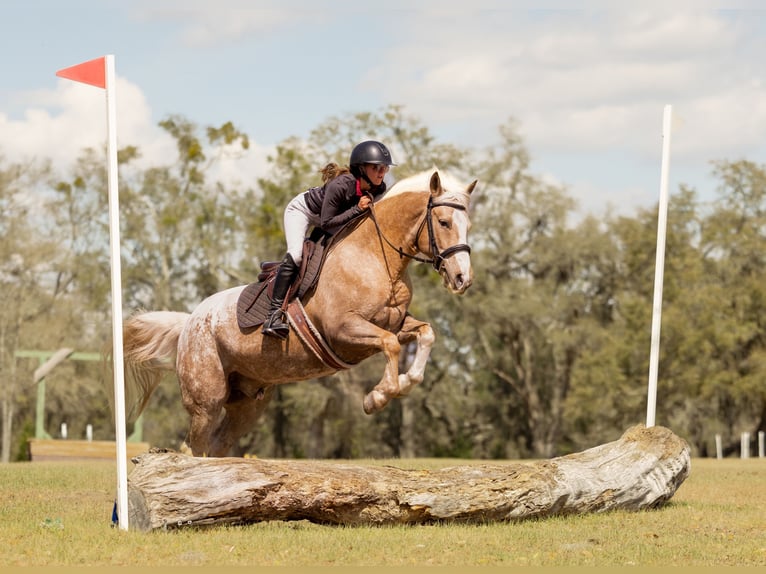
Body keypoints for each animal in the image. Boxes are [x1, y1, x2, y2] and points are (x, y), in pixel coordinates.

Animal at [121, 168, 477, 456]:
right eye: (444, 222)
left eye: (468, 225)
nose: (463, 279)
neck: (376, 256)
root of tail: (190, 322)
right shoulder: (343, 330)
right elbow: (390, 345)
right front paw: (376, 398)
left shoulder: (396, 323)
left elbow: (426, 333)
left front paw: (406, 381)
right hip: (206, 399)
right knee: (195, 444)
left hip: (248, 402)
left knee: (220, 443)